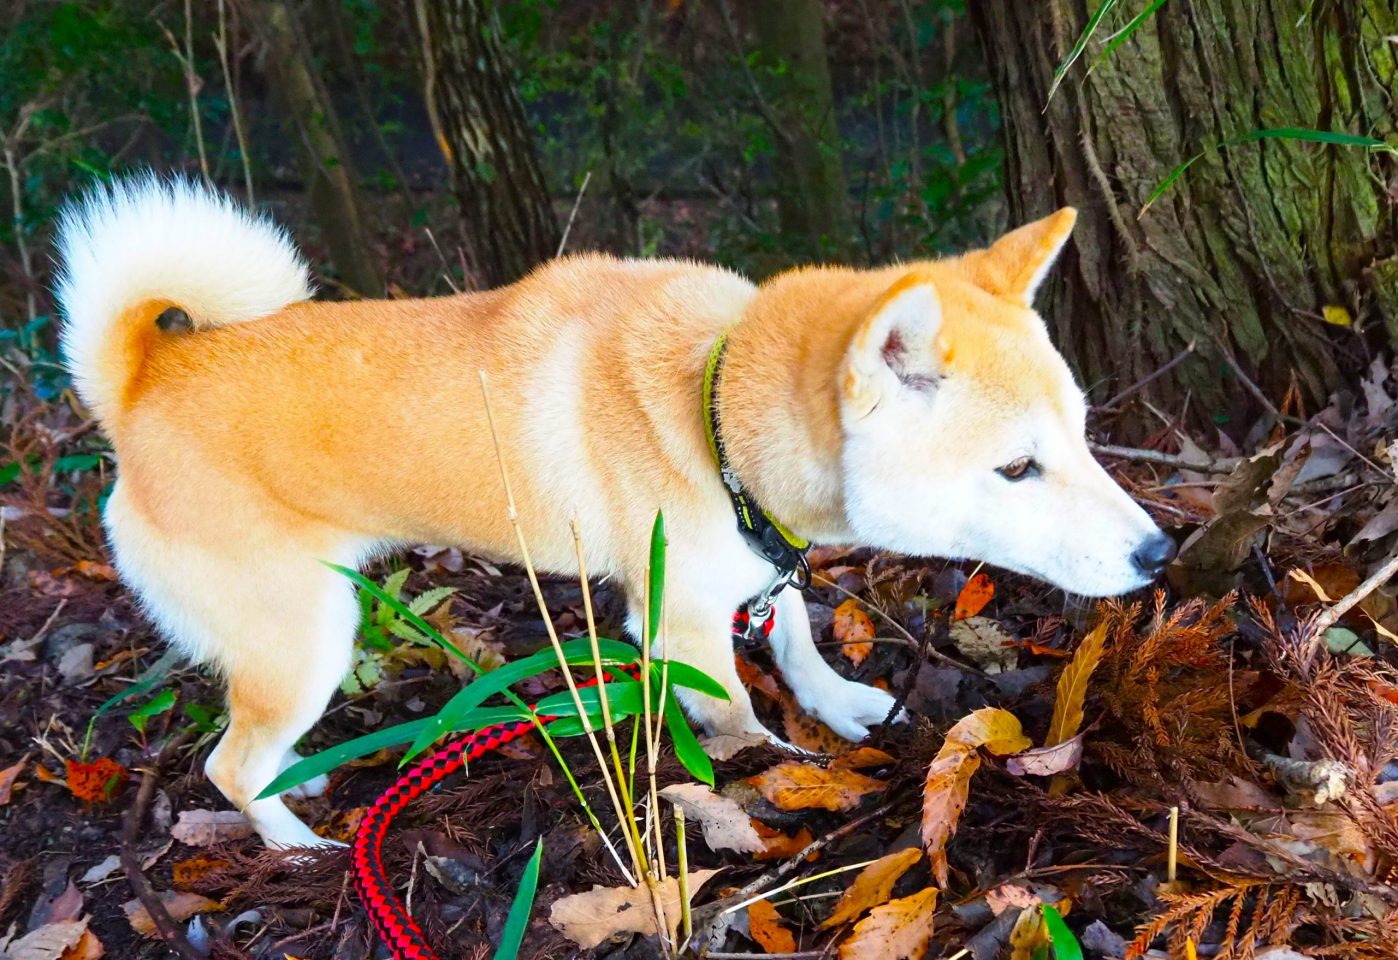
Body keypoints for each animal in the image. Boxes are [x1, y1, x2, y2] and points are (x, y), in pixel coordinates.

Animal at [51, 178, 1168, 849]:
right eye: (1015, 469)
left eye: (1082, 434)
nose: (1160, 552)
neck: (711, 410)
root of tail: (144, 381)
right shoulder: (676, 629)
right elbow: (743, 720)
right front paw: (793, 772)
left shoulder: (758, 570)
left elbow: (797, 633)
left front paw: (841, 701)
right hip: (310, 638)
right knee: (225, 763)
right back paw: (292, 843)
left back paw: (299, 787)